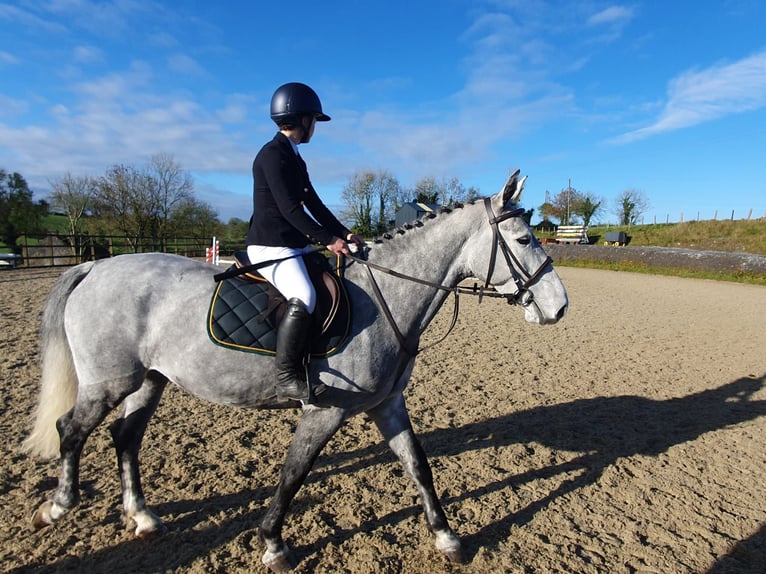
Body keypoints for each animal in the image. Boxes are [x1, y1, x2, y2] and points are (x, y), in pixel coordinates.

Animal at [24, 169, 568, 572]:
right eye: (524, 239)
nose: (559, 307)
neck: (388, 297)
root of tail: (94, 267)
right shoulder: (324, 411)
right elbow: (294, 473)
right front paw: (273, 544)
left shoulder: (387, 405)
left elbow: (418, 465)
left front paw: (448, 538)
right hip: (109, 382)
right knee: (71, 430)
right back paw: (57, 507)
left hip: (148, 381)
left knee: (125, 437)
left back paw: (141, 517)